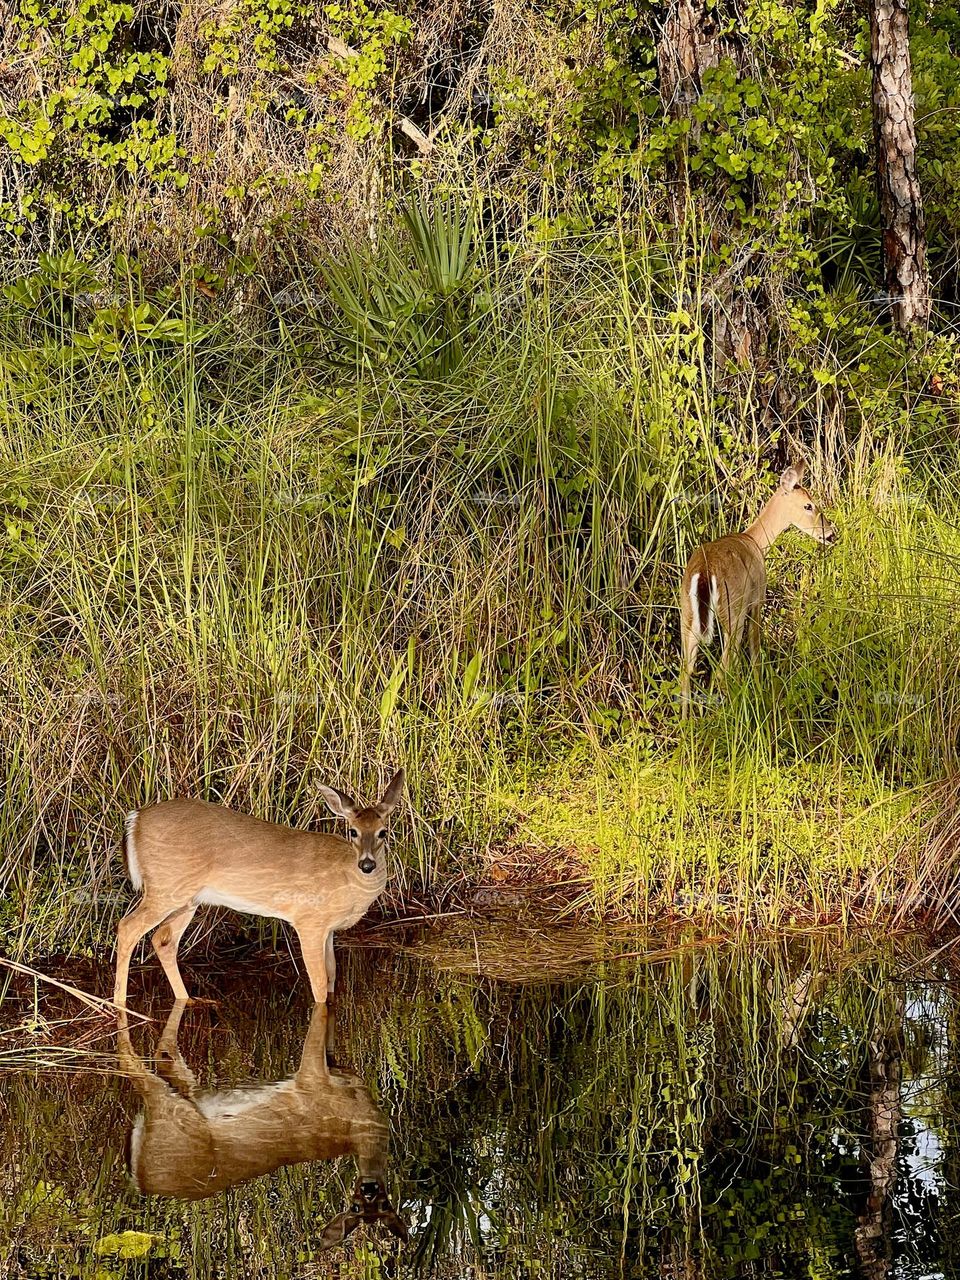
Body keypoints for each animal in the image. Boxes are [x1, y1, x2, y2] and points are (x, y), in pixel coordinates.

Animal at [113, 768, 407, 1008]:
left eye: (383, 832)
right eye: (352, 831)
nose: (367, 864)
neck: (347, 878)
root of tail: (135, 819)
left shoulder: (329, 930)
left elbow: (333, 976)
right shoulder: (309, 921)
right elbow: (320, 984)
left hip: (187, 898)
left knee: (163, 939)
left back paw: (191, 1000)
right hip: (164, 888)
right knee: (127, 927)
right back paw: (119, 1004)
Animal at [118, 998, 407, 1249]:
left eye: (384, 1205)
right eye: (355, 1207)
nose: (369, 1189)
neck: (360, 1122)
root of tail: (141, 1180)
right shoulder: (311, 1077)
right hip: (172, 1111)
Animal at [680, 463, 839, 721]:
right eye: (808, 505)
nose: (831, 533)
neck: (754, 540)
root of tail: (704, 572)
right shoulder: (757, 599)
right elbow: (755, 649)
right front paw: (758, 689)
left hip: (686, 614)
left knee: (686, 672)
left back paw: (687, 726)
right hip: (733, 611)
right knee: (723, 669)